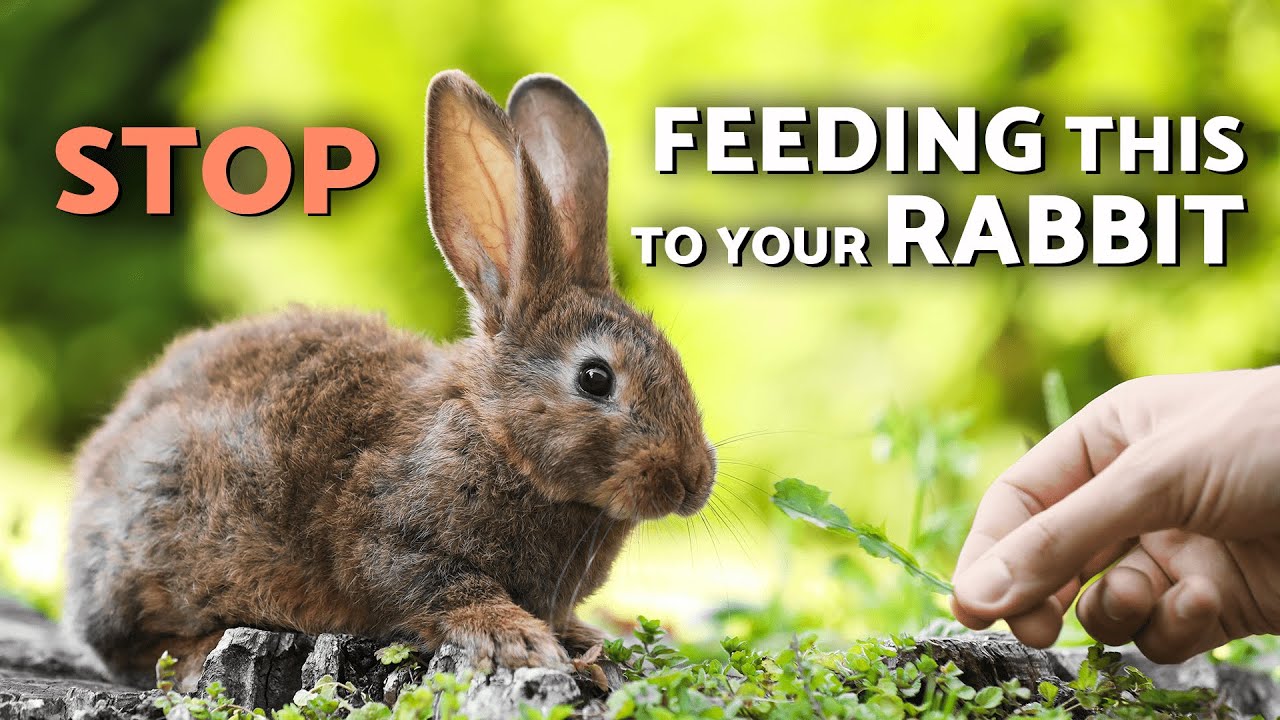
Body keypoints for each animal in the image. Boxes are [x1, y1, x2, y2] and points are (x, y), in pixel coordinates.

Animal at [63, 70, 717, 689]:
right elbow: (439, 587)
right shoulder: (389, 538)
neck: (495, 435)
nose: (692, 481)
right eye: (595, 377)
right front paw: (518, 640)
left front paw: (586, 642)